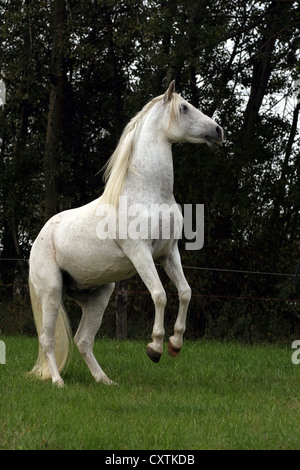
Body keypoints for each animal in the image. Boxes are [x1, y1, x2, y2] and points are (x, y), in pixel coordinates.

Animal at [28, 81, 224, 388]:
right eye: (183, 107)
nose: (218, 131)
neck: (150, 194)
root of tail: (36, 242)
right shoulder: (140, 252)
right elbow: (159, 295)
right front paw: (155, 348)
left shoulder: (168, 254)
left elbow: (185, 292)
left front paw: (175, 345)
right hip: (52, 292)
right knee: (48, 340)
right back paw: (59, 383)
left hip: (98, 295)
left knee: (83, 340)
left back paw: (104, 381)